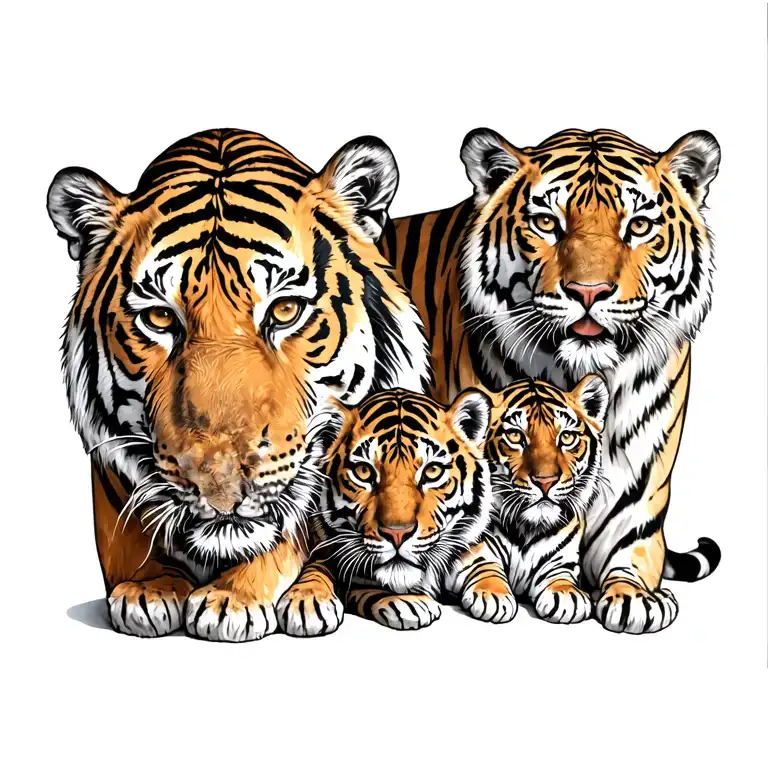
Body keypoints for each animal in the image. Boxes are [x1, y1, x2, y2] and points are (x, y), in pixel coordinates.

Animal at [47, 128, 430, 642]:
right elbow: (129, 535)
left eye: (284, 310)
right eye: (160, 318)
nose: (220, 486)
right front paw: (148, 589)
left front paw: (233, 599)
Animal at [276, 388, 516, 634]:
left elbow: (485, 564)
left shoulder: (473, 547)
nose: (397, 533)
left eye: (432, 471)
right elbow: (334, 574)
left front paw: (493, 595)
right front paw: (307, 602)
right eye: (364, 471)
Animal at [485, 376, 609, 624]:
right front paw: (493, 594)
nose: (545, 481)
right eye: (515, 436)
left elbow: (560, 578)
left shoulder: (562, 562)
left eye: (567, 437)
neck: (528, 529)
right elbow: (485, 568)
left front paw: (567, 597)